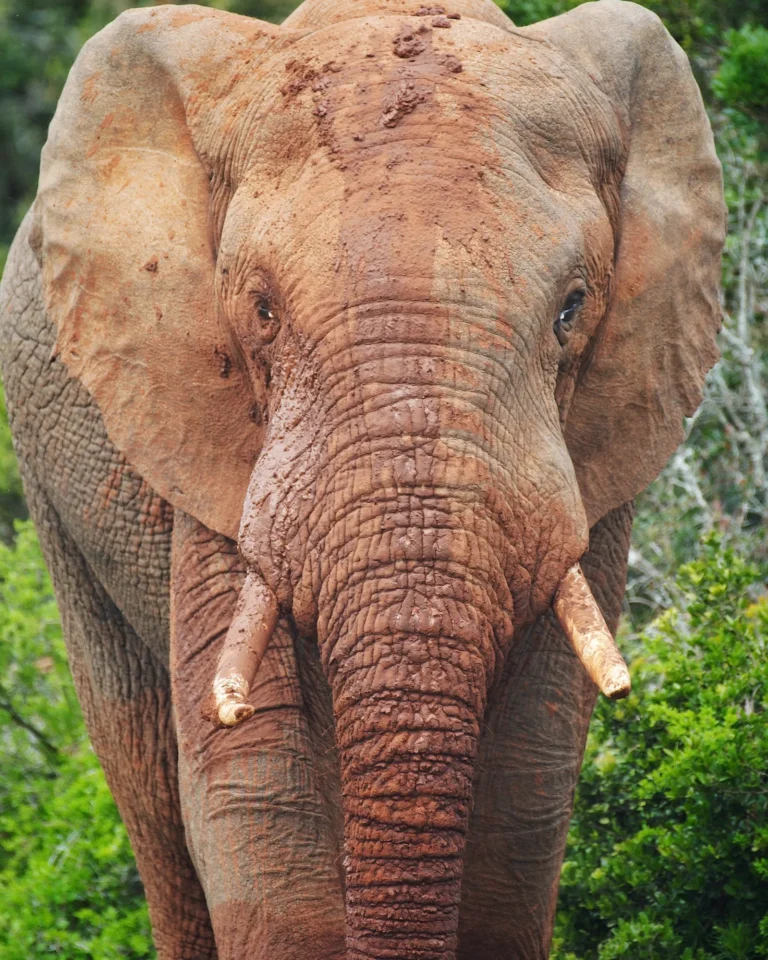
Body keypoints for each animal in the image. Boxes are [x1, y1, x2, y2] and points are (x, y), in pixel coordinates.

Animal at [0, 0, 725, 956]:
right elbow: (253, 789)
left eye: (572, 309)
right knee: (147, 782)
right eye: (261, 312)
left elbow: (528, 783)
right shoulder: (210, 439)